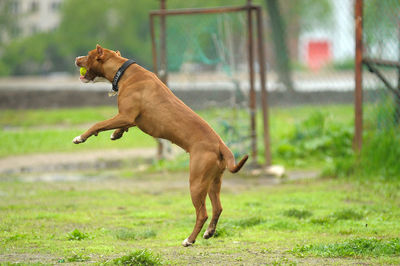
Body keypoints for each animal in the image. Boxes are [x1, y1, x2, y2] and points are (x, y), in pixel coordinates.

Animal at [72, 44, 247, 246]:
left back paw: (189, 240)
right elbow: (120, 127)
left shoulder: (126, 115)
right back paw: (209, 232)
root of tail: (220, 144)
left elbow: (97, 124)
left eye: (88, 55)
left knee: (202, 213)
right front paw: (116, 133)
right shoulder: (133, 119)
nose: (76, 58)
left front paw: (80, 137)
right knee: (218, 208)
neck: (123, 71)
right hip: (213, 181)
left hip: (196, 182)